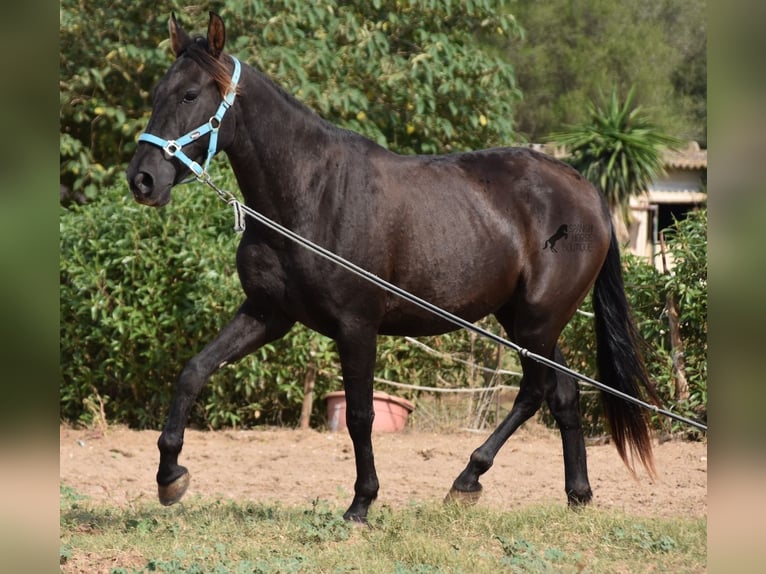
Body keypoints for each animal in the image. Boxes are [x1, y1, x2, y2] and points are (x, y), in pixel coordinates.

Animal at [126, 12, 660, 528]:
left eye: (190, 94)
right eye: (154, 93)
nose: (142, 179)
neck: (311, 194)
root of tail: (588, 192)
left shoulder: (356, 326)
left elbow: (361, 415)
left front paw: (361, 504)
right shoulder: (267, 314)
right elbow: (194, 371)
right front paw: (170, 476)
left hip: (536, 322)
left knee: (538, 390)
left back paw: (475, 479)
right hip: (525, 322)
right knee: (559, 392)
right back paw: (567, 492)